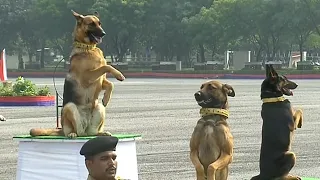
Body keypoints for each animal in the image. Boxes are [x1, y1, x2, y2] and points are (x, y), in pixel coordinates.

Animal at [29, 10, 125, 139]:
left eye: (99, 23)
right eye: (91, 24)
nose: (104, 33)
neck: (88, 48)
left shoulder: (100, 81)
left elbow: (110, 84)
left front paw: (106, 98)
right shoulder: (87, 77)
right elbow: (106, 66)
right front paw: (119, 75)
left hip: (99, 108)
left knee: (91, 132)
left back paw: (102, 132)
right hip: (69, 107)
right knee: (78, 132)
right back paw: (72, 134)